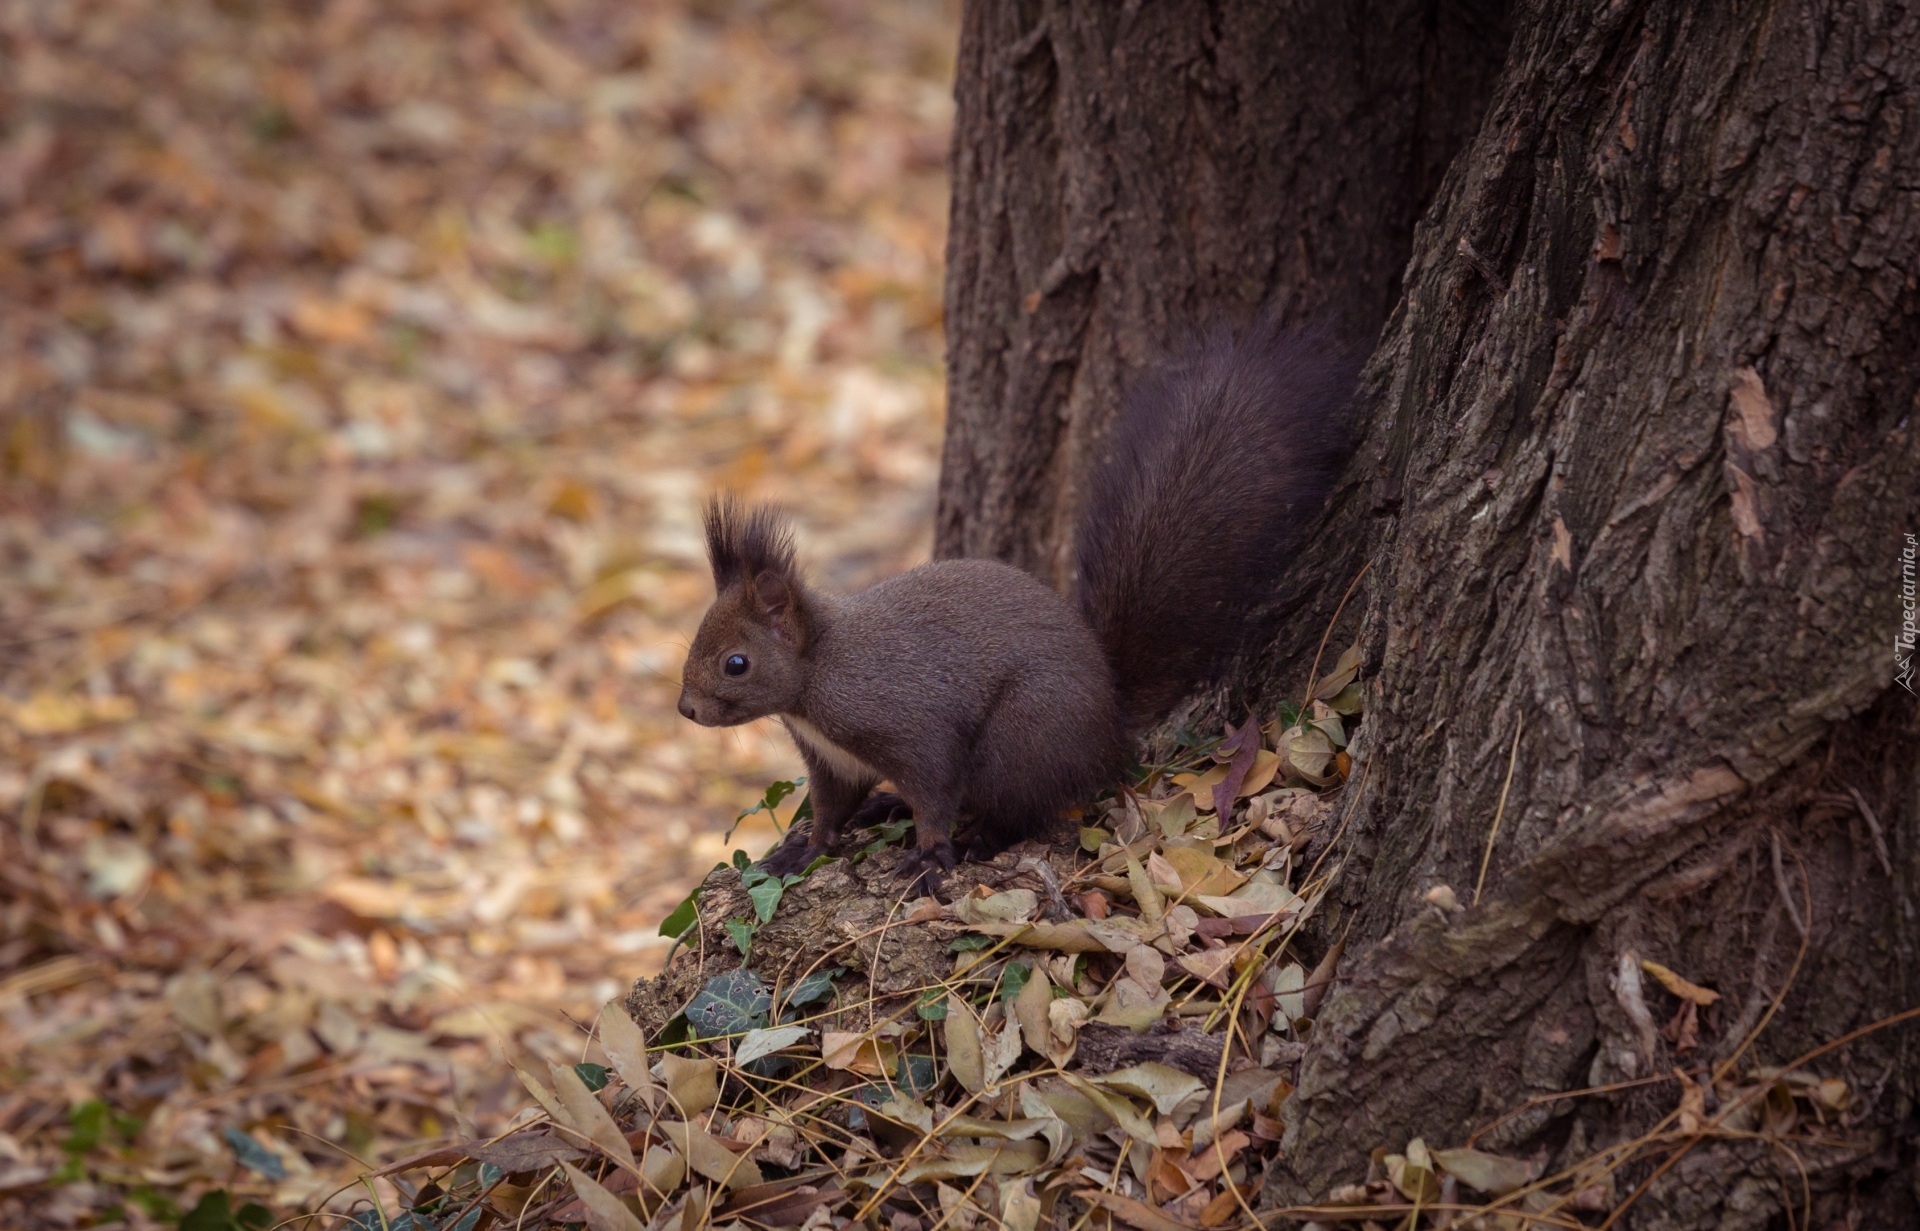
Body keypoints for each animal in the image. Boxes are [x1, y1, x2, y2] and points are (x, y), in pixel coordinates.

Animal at [683, 316, 1359, 891]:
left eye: (736, 663)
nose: (687, 710)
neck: (818, 675)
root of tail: (1109, 726)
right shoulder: (831, 762)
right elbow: (829, 812)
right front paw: (804, 850)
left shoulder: (908, 725)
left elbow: (934, 792)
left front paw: (930, 854)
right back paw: (890, 804)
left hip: (1023, 737)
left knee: (1018, 810)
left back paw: (975, 839)